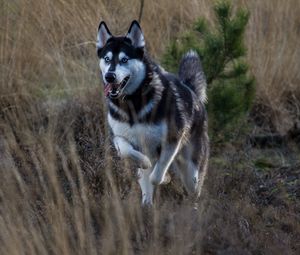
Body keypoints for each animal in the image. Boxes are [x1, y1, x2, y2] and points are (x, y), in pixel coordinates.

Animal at [96, 20, 209, 205]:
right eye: (107, 59)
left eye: (124, 59)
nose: (109, 76)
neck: (133, 104)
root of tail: (191, 91)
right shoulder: (119, 137)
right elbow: (129, 153)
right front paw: (144, 162)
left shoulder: (172, 139)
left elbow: (157, 175)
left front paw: (164, 178)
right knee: (146, 185)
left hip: (191, 170)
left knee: (193, 188)